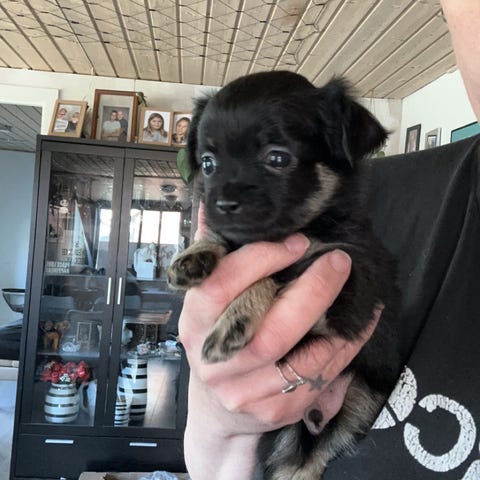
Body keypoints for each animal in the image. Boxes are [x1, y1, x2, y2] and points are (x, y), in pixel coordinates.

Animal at [168, 70, 401, 479]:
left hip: (359, 404)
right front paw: (196, 254)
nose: (222, 204)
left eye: (277, 158)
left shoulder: (348, 290)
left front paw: (236, 318)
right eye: (208, 164)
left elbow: (283, 271)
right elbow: (230, 243)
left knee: (314, 458)